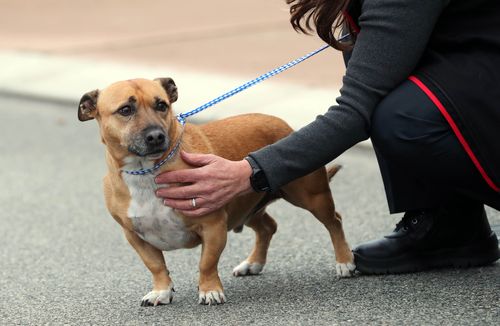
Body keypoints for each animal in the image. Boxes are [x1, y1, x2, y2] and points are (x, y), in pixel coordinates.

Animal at [78, 77, 354, 306]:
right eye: (125, 110)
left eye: (162, 105)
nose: (156, 136)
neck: (146, 171)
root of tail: (284, 124)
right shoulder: (135, 236)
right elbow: (156, 265)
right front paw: (162, 291)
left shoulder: (213, 226)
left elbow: (206, 263)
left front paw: (209, 290)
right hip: (247, 205)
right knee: (268, 227)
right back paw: (253, 263)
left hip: (311, 197)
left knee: (334, 221)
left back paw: (345, 261)